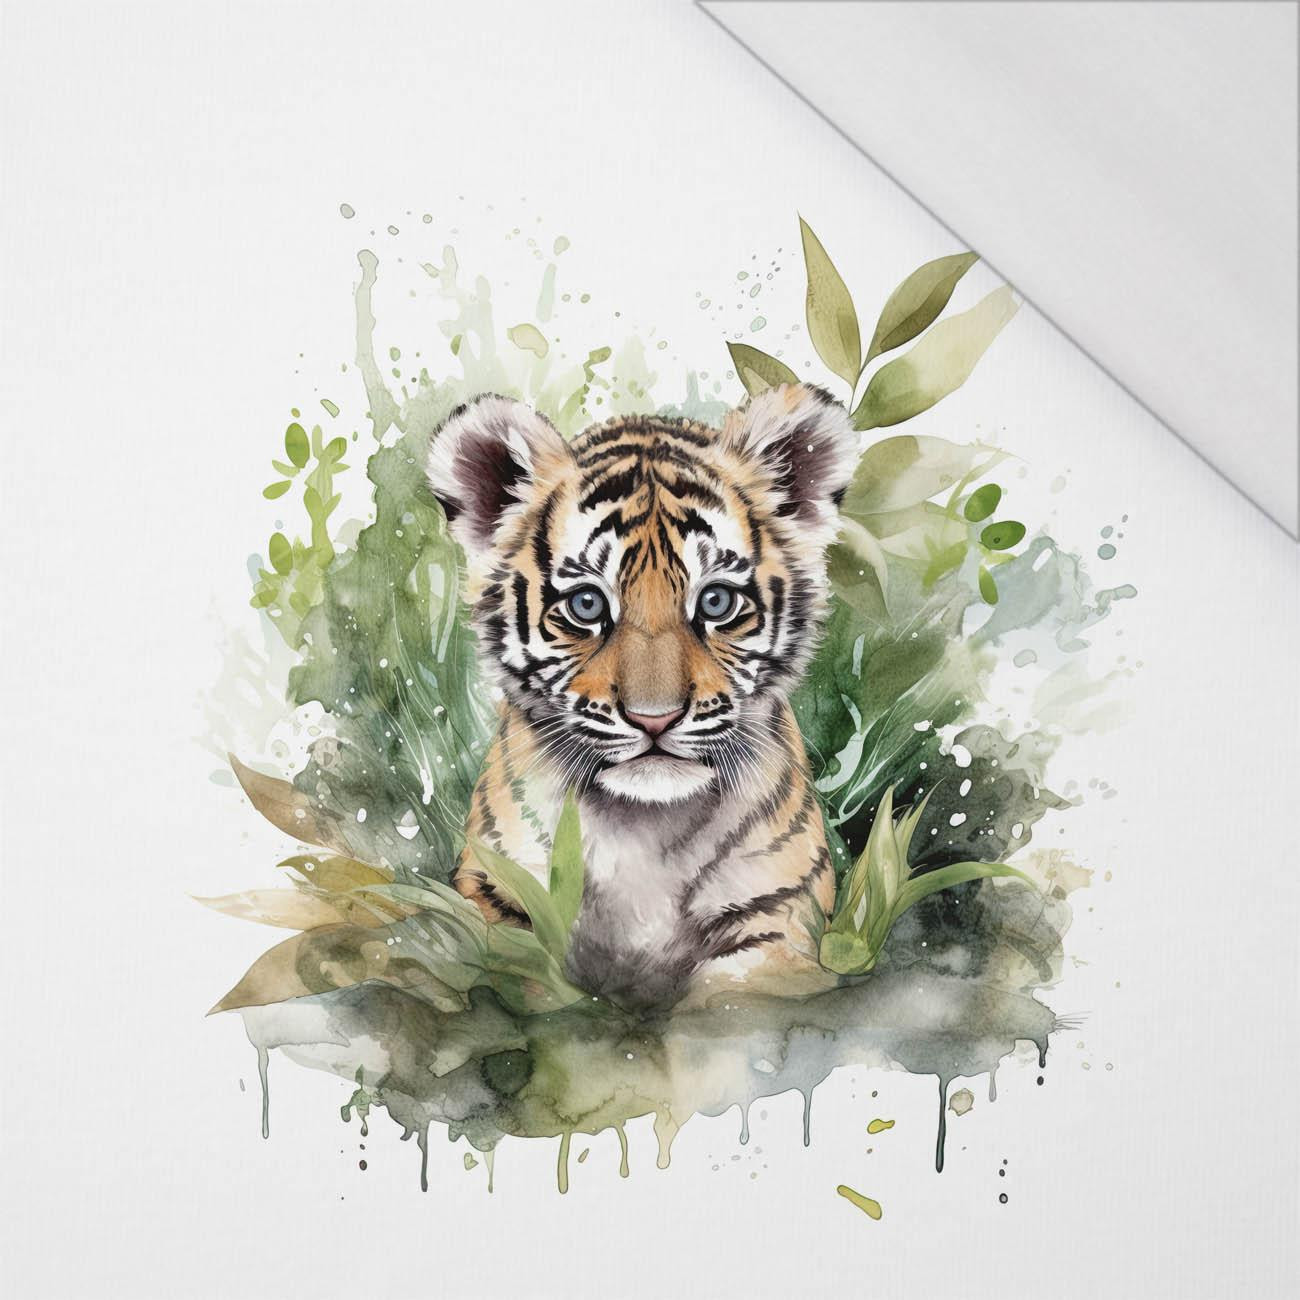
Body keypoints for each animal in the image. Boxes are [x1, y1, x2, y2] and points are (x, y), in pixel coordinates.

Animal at [425, 382, 858, 1010]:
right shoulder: (498, 897)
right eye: (586, 605)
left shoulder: (776, 919)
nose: (655, 719)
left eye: (716, 602)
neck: (645, 828)